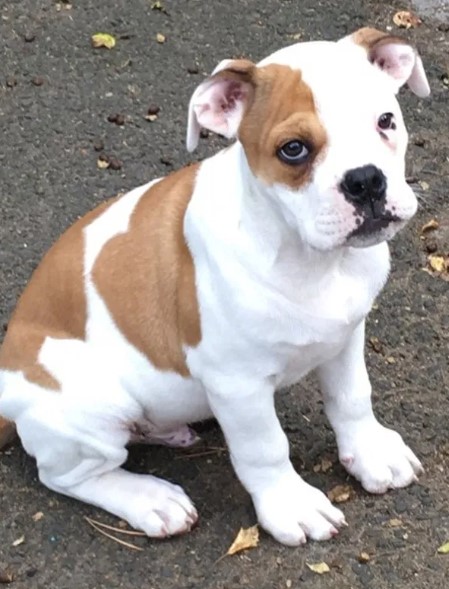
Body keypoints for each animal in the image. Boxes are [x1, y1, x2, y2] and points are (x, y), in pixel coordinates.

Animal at [0, 27, 430, 546]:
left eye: (386, 120)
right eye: (293, 149)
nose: (365, 180)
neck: (312, 259)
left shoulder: (345, 337)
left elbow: (352, 398)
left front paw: (369, 453)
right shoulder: (237, 385)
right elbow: (265, 447)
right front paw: (291, 504)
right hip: (91, 405)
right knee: (66, 475)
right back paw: (150, 499)